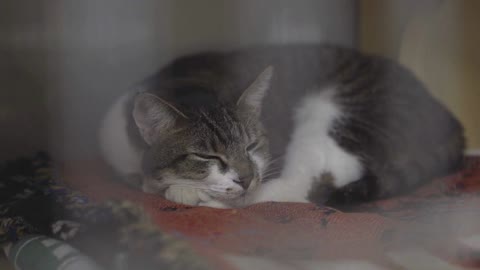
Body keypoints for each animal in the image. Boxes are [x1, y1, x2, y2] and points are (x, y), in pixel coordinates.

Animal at [98, 44, 464, 209]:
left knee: (303, 188)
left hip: (336, 113)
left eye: (251, 146)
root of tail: (448, 118)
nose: (246, 178)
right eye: (208, 157)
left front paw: (184, 190)